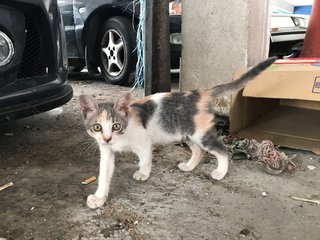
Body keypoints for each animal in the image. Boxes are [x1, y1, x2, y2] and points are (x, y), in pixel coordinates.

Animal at [79, 56, 276, 208]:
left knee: (221, 149)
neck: (122, 136)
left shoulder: (143, 142)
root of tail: (201, 93)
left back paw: (220, 172)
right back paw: (189, 166)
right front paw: (99, 197)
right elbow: (104, 174)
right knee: (199, 151)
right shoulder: (106, 151)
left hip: (200, 134)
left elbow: (145, 159)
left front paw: (143, 173)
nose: (107, 138)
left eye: (116, 126)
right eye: (97, 127)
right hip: (187, 133)